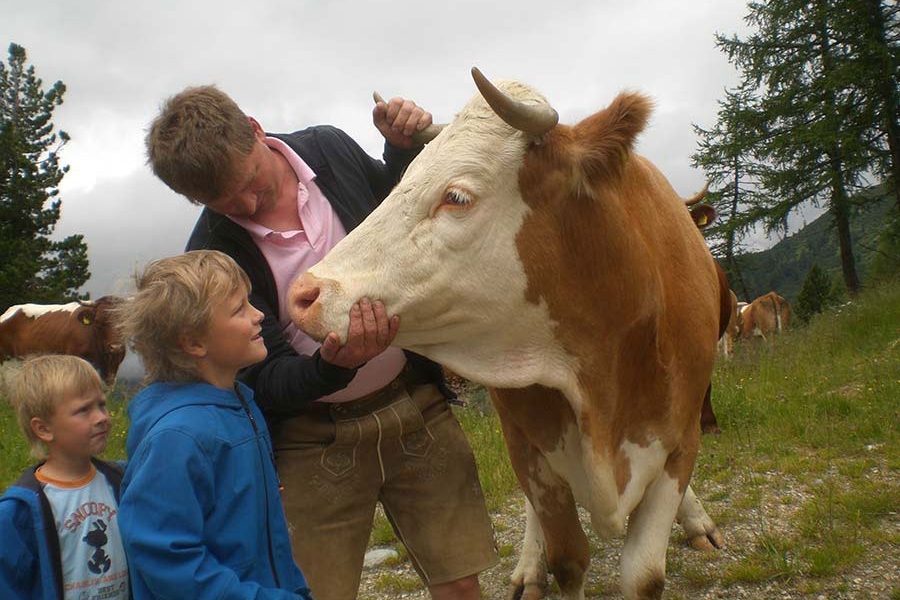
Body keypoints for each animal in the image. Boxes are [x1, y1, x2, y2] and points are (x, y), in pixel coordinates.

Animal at [292, 69, 728, 600]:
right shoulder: (531, 451)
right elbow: (568, 560)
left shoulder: (678, 440)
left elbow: (643, 575)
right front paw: (543, 563)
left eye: (457, 196)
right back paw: (528, 567)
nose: (305, 293)